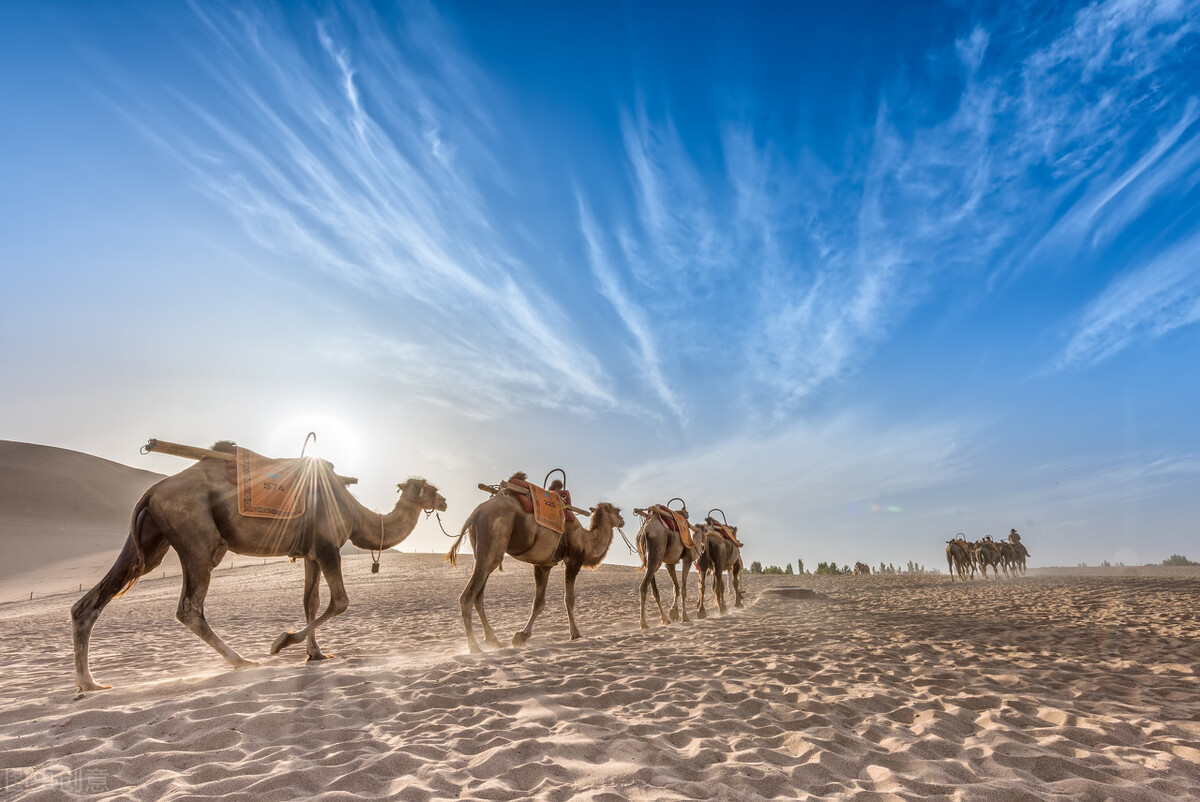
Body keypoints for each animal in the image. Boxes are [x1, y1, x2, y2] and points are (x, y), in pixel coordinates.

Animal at [70, 449, 446, 691]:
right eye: (430, 488)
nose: (443, 501)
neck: (355, 514)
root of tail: (151, 491)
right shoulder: (328, 548)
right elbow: (340, 601)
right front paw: (282, 642)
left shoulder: (310, 553)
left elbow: (310, 601)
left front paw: (315, 653)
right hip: (197, 536)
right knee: (189, 607)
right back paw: (241, 661)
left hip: (150, 543)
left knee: (90, 602)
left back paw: (89, 683)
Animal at [446, 475, 624, 653]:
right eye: (617, 510)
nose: (622, 521)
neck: (586, 540)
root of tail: (479, 510)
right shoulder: (573, 560)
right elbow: (569, 599)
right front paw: (575, 634)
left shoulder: (543, 565)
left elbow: (538, 603)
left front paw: (521, 636)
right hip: (492, 543)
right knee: (467, 597)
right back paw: (475, 647)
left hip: (482, 550)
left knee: (479, 595)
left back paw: (492, 640)